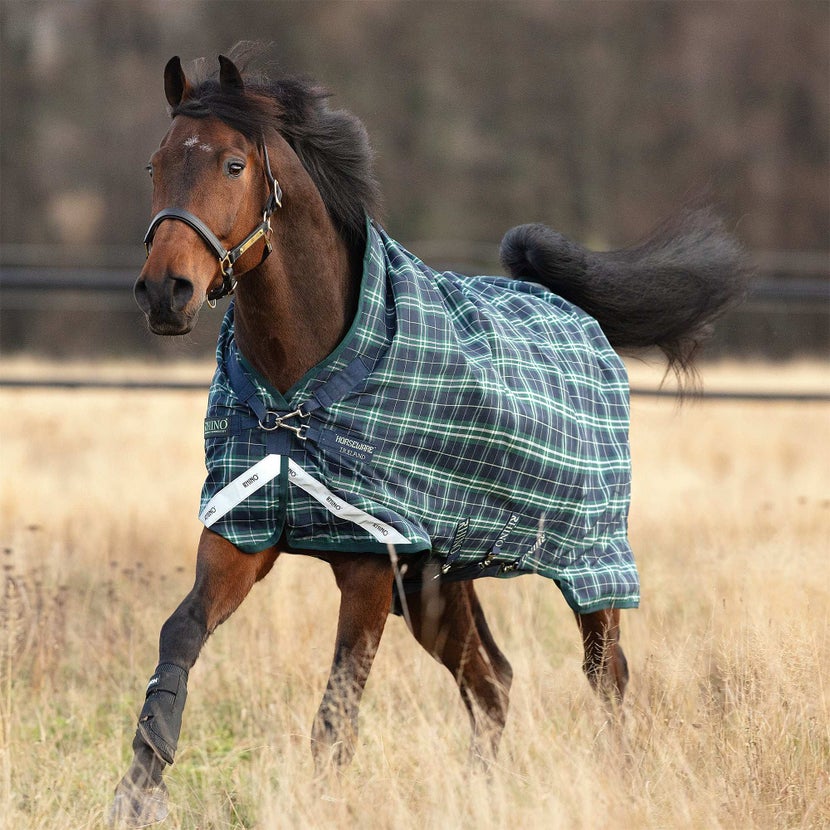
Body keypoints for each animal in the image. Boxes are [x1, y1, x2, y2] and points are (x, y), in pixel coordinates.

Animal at [109, 52, 746, 827]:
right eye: (157, 163)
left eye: (234, 165)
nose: (164, 293)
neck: (298, 394)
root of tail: (576, 312)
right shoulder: (242, 528)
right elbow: (180, 637)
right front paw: (137, 791)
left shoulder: (369, 563)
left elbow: (338, 709)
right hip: (439, 582)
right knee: (493, 683)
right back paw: (481, 796)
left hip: (590, 560)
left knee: (606, 674)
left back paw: (619, 784)